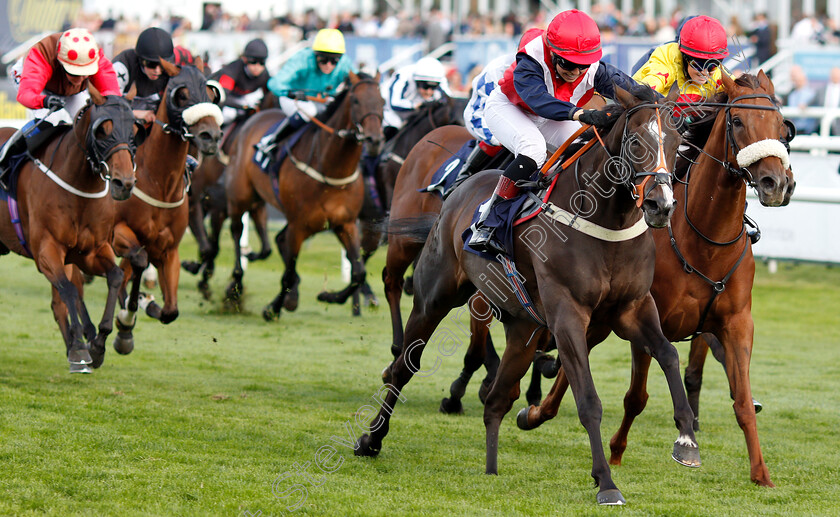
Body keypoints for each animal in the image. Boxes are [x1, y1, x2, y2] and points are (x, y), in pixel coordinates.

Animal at [0, 88, 136, 370]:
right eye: (102, 129)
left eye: (135, 128)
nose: (124, 183)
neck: (79, 186)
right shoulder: (46, 251)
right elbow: (70, 290)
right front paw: (79, 347)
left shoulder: (90, 252)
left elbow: (116, 276)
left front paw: (98, 344)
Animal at [111, 58, 223, 352]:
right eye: (181, 94)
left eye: (211, 95)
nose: (210, 136)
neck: (159, 182)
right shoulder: (118, 234)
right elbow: (137, 263)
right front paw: (127, 318)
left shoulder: (168, 249)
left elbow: (170, 312)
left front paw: (146, 304)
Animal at [220, 71, 384, 318]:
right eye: (356, 101)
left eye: (383, 101)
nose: (374, 141)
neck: (330, 169)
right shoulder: (298, 226)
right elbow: (288, 274)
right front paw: (272, 309)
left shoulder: (345, 223)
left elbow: (358, 273)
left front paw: (329, 296)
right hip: (240, 195)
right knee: (237, 230)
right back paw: (237, 285)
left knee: (270, 234)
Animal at [356, 87, 704, 504]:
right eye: (636, 142)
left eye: (677, 141)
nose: (660, 205)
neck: (606, 222)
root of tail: (460, 189)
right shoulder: (568, 315)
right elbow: (588, 400)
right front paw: (606, 482)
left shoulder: (632, 308)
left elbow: (667, 354)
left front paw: (687, 440)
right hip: (434, 297)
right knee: (403, 366)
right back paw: (370, 440)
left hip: (522, 328)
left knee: (497, 399)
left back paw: (490, 466)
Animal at [520, 71, 796, 488]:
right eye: (736, 121)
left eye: (781, 125)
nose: (775, 183)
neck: (705, 242)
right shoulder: (648, 316)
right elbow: (637, 396)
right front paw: (620, 452)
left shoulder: (735, 324)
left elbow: (741, 401)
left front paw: (761, 473)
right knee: (569, 364)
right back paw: (535, 411)